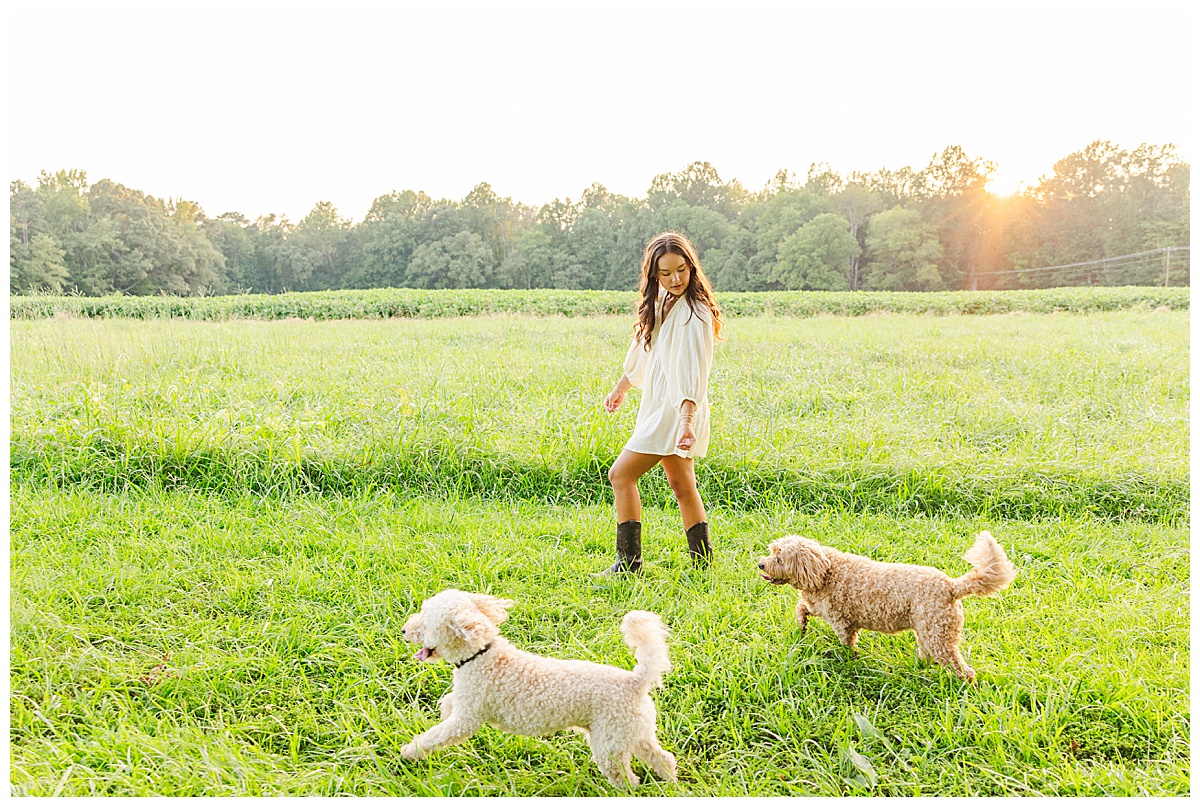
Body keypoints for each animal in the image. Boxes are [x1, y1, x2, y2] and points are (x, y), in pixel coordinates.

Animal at [400, 586, 676, 787]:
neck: (480, 654)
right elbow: (448, 703)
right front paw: (443, 709)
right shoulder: (466, 703)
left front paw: (410, 751)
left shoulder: (467, 719)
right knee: (663, 758)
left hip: (610, 743)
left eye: (425, 621)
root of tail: (635, 682)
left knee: (626, 779)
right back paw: (670, 782)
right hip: (633, 732)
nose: (403, 630)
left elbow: (436, 735)